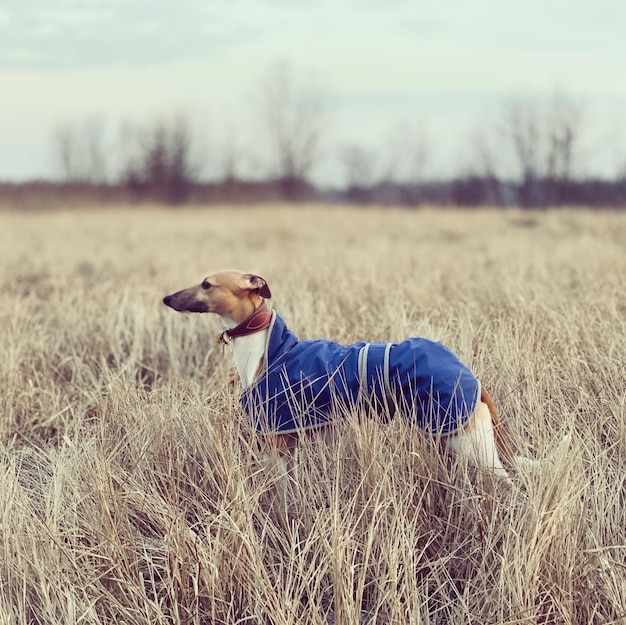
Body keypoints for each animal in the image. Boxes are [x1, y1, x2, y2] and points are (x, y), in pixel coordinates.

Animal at [162, 266, 536, 490]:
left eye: (207, 283)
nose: (165, 298)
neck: (267, 349)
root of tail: (472, 378)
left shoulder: (275, 443)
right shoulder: (291, 443)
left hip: (472, 445)